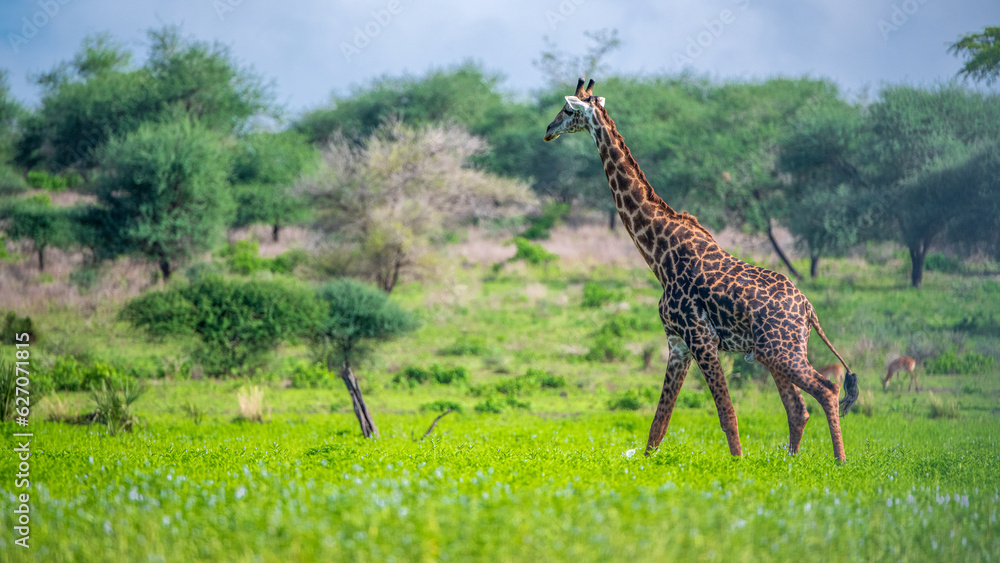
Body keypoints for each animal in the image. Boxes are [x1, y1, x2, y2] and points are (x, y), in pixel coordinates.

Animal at [544, 79, 860, 461]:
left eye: (568, 110)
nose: (548, 130)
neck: (659, 254)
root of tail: (808, 310)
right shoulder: (678, 342)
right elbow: (658, 423)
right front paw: (645, 466)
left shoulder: (701, 337)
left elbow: (727, 414)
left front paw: (737, 464)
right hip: (773, 351)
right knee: (798, 408)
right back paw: (790, 463)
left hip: (781, 350)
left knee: (827, 389)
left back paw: (839, 463)